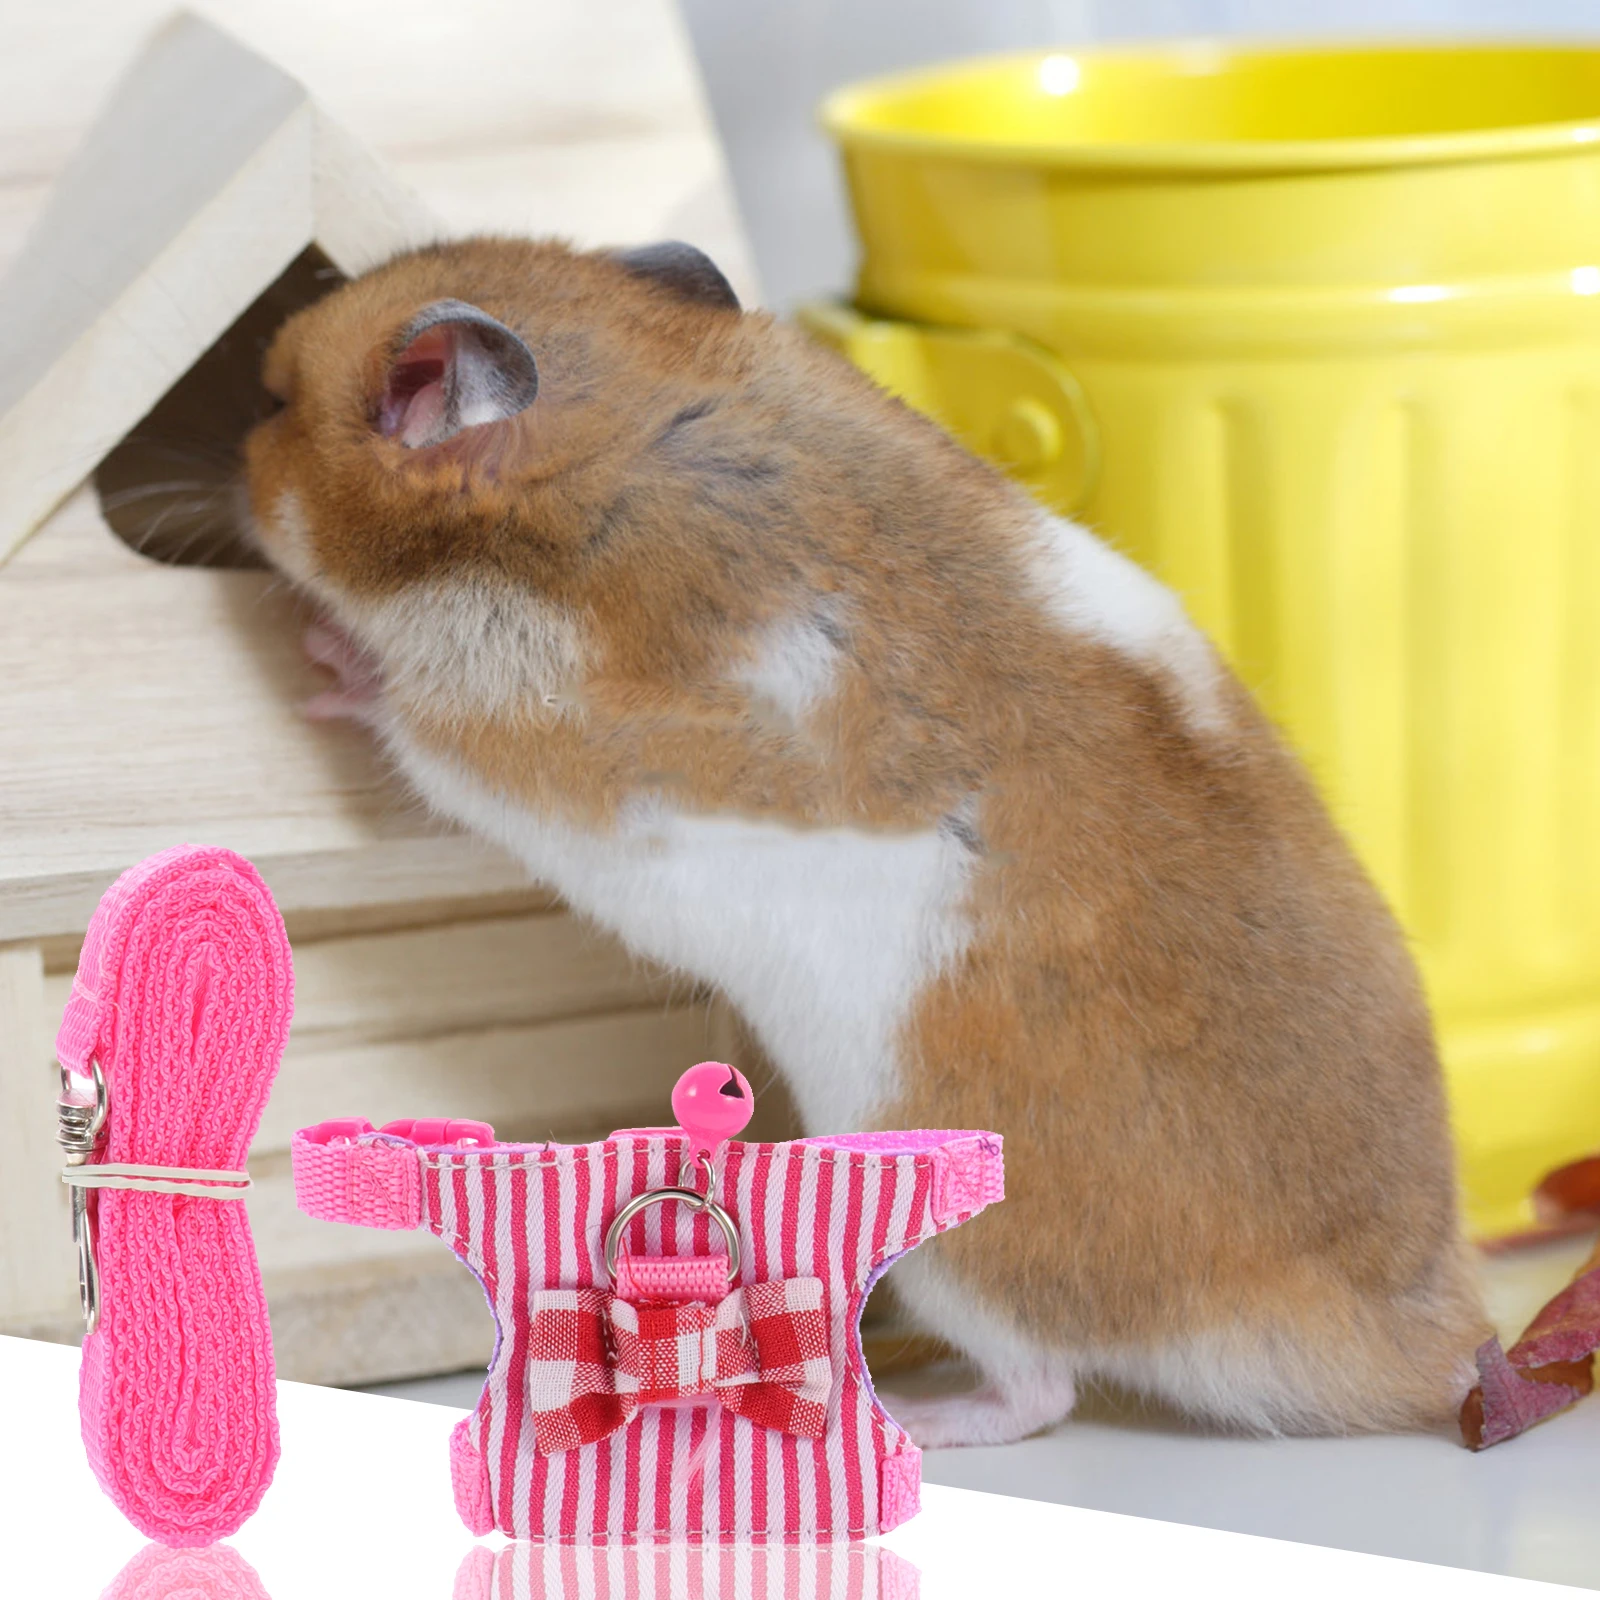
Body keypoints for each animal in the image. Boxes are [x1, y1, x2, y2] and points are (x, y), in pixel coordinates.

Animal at [242, 236, 1488, 1445]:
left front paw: (323, 663)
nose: (238, 465)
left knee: (1038, 1389)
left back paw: (907, 1407)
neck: (622, 427)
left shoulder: (499, 735)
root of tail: (1421, 1343)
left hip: (955, 1246)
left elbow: (404, 715)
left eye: (278, 402)